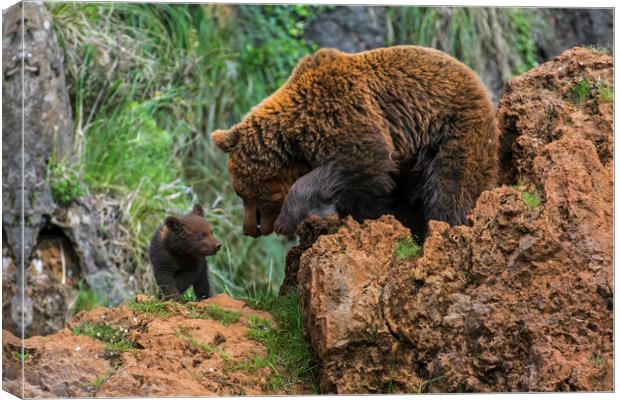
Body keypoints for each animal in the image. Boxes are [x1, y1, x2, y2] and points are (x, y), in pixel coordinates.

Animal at [211, 47, 496, 239]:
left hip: (452, 128)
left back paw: (448, 227)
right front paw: (384, 221)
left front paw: (286, 221)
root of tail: (480, 83)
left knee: (450, 185)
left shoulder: (343, 113)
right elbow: (371, 195)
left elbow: (360, 161)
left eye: (241, 193)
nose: (249, 230)